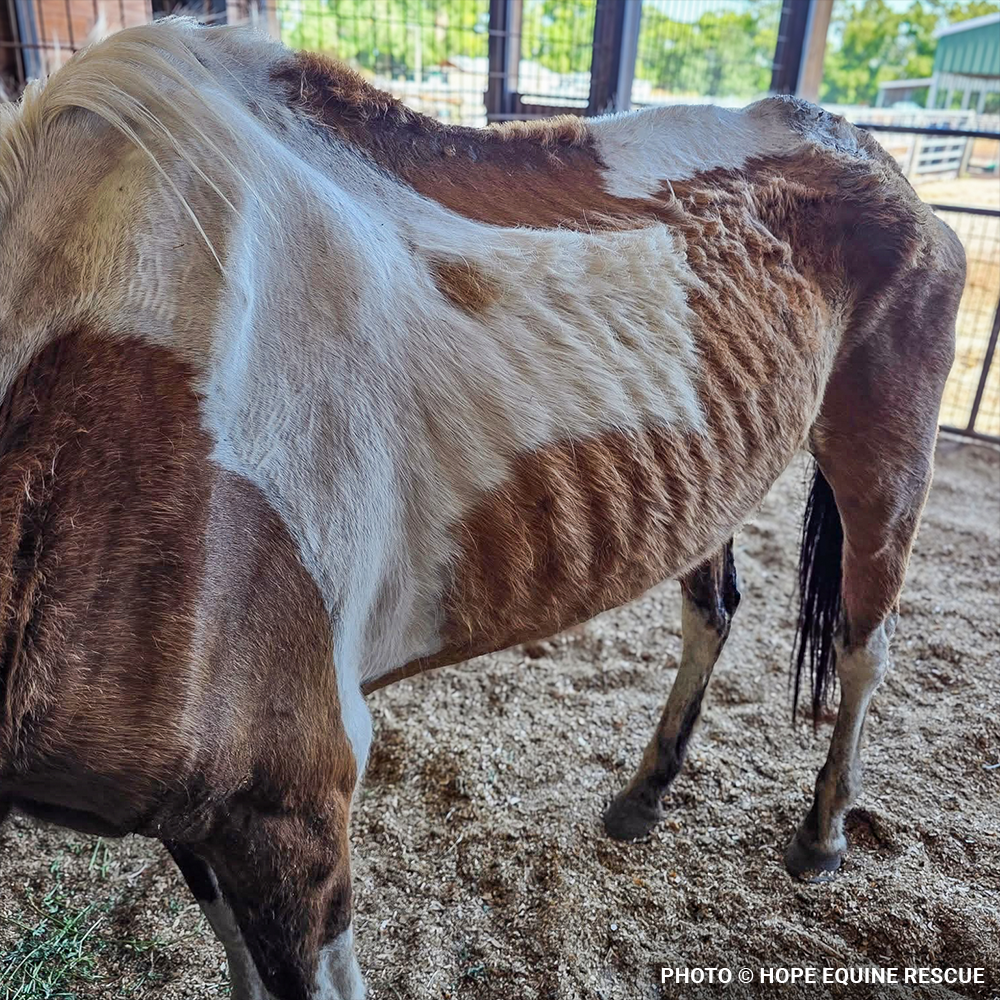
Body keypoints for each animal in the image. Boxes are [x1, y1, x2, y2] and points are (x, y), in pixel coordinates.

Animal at [0, 18, 965, 1000]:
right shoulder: (197, 824)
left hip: (884, 467)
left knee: (863, 647)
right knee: (715, 613)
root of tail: (872, 154)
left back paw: (822, 836)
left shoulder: (286, 813)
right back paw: (644, 796)